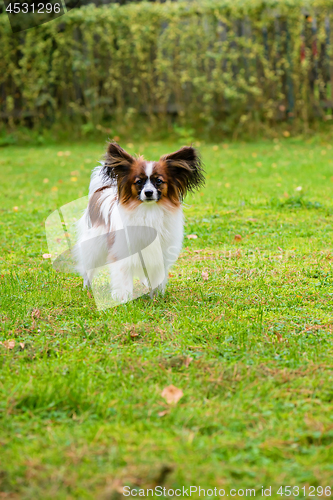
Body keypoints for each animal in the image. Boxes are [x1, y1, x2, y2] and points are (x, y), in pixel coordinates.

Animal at [74, 143, 204, 302]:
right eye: (139, 182)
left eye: (158, 181)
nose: (148, 192)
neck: (149, 212)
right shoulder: (122, 252)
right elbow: (123, 278)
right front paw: (124, 299)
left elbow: (156, 278)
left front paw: (156, 298)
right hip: (94, 247)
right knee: (88, 269)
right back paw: (87, 288)